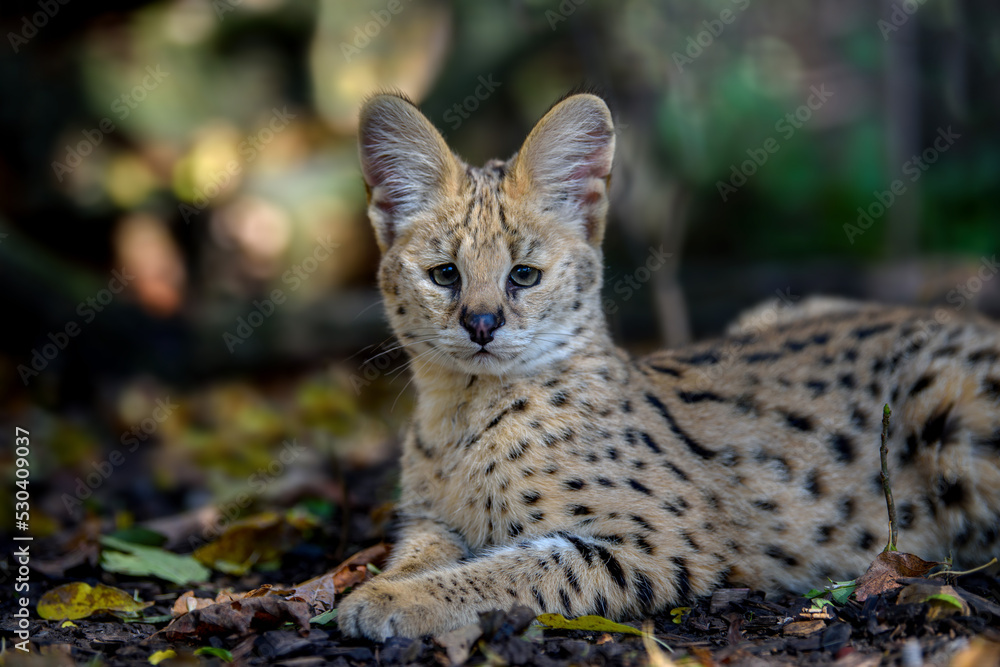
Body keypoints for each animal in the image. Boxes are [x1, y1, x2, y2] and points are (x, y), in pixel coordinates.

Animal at [338, 91, 1000, 640]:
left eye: (523, 275)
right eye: (444, 274)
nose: (480, 324)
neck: (463, 410)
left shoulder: (662, 542)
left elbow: (513, 569)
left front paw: (395, 599)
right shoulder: (428, 520)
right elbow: (418, 552)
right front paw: (381, 587)